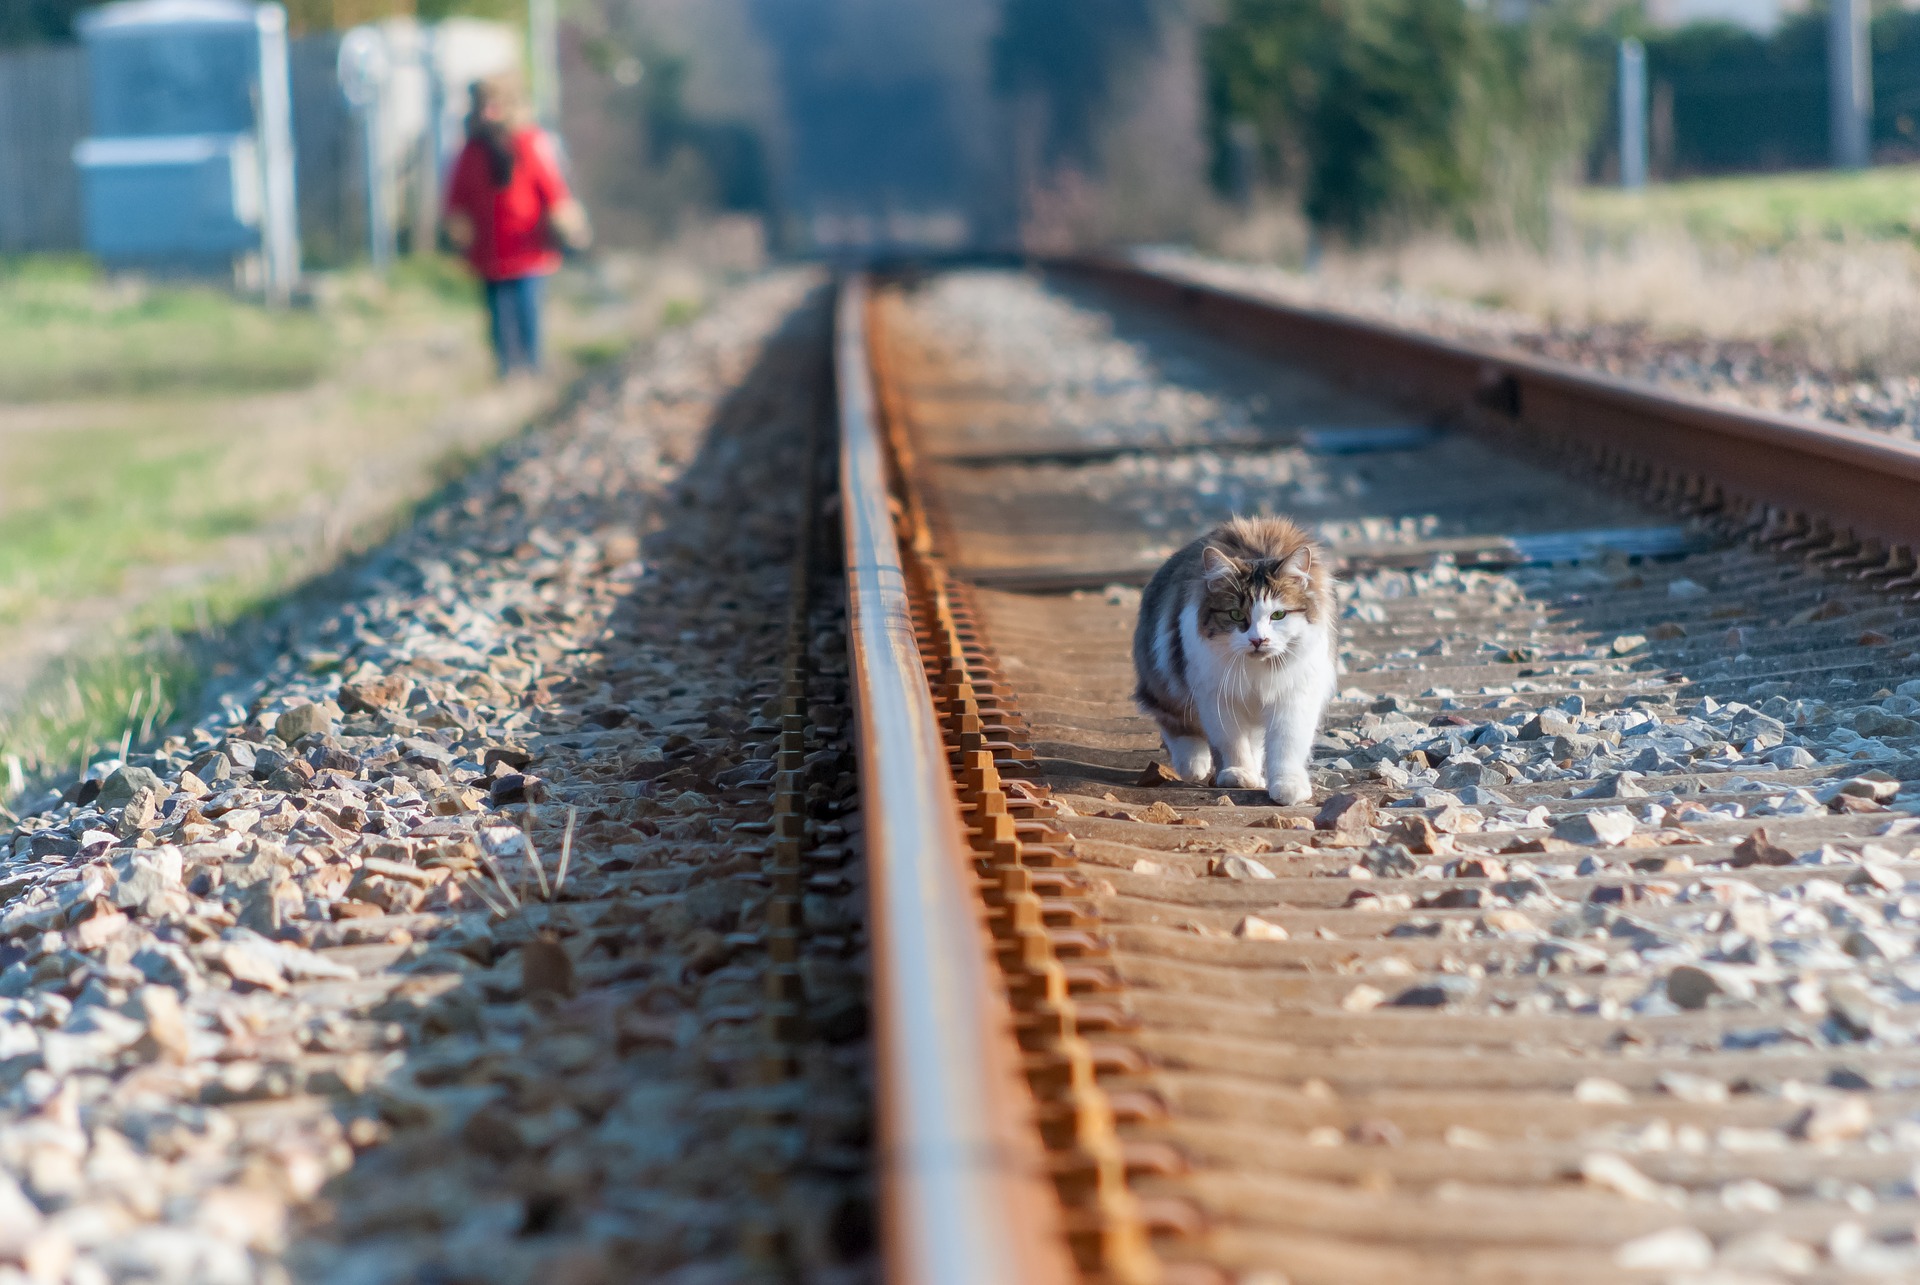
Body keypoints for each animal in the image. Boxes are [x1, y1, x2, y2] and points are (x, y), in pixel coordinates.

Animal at [1121, 514, 1336, 802]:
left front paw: (1288, 786)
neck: (1258, 670)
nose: (1258, 640)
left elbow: (1286, 745)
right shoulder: (1218, 696)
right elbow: (1231, 741)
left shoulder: (1293, 695)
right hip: (1163, 672)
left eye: (1278, 615)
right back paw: (1193, 763)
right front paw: (1238, 774)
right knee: (1173, 719)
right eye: (1235, 615)